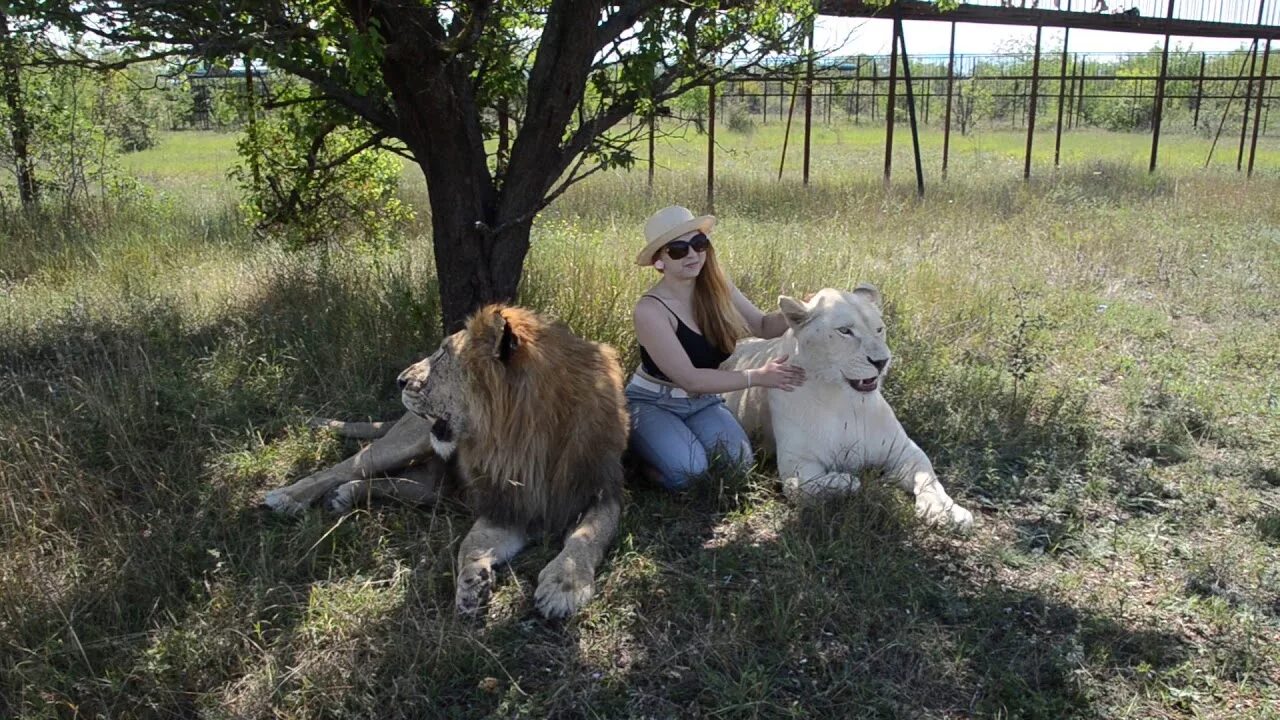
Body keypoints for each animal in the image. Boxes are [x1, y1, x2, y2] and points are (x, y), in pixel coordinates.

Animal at [257, 303, 627, 617]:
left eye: (444, 354)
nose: (400, 381)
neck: (524, 437)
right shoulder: (505, 503)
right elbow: (471, 543)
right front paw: (472, 583)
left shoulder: (601, 492)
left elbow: (587, 537)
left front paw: (564, 586)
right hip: (407, 443)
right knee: (346, 466)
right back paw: (288, 496)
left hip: (432, 487)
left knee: (398, 483)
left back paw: (345, 494)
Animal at [727, 284, 972, 527]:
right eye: (844, 331)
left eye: (879, 329)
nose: (882, 361)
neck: (844, 401)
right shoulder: (796, 463)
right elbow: (807, 487)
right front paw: (847, 478)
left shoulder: (903, 449)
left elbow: (929, 475)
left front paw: (945, 510)